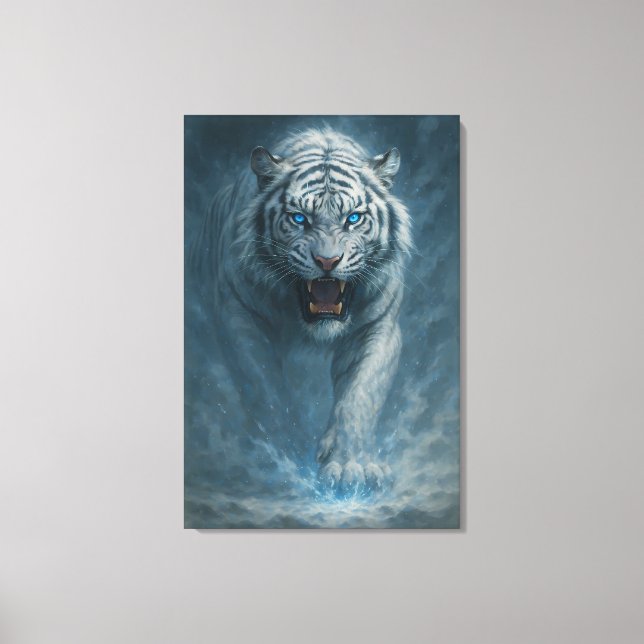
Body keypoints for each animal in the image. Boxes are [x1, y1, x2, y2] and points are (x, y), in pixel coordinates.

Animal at [191, 127, 413, 490]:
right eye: (299, 219)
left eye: (353, 219)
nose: (327, 261)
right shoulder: (241, 318)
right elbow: (267, 393)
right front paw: (284, 455)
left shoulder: (378, 328)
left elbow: (359, 399)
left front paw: (349, 465)